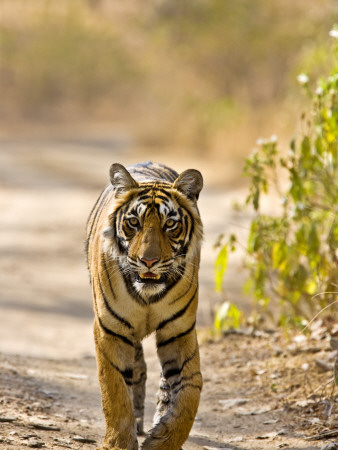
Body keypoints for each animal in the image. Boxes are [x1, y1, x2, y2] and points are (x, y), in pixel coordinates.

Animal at [86, 160, 203, 448]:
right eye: (133, 223)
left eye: (170, 224)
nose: (148, 261)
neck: (148, 296)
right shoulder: (110, 331)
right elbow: (114, 391)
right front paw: (118, 443)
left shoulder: (179, 332)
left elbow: (190, 391)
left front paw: (162, 440)